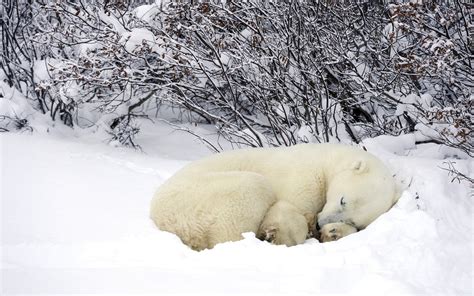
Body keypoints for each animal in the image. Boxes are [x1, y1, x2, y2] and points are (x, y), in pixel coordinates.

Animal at [149, 143, 400, 250]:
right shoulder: (304, 177)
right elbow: (289, 209)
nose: (321, 224)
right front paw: (282, 233)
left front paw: (334, 232)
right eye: (342, 199)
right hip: (201, 197)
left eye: (353, 219)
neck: (327, 160)